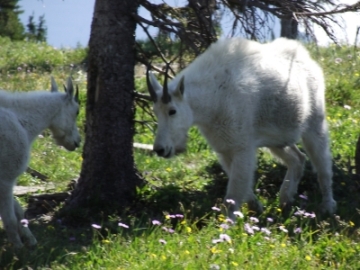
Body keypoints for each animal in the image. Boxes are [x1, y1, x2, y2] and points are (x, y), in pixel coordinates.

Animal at [0, 77, 80, 248]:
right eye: (77, 111)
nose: (77, 142)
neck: (21, 121)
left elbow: (19, 210)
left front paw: (31, 241)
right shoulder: (6, 179)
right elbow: (10, 219)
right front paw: (19, 249)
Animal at [145, 37, 336, 217]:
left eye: (172, 111)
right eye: (155, 112)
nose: (160, 149)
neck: (212, 97)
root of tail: (309, 59)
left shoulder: (241, 147)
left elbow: (234, 193)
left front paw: (228, 225)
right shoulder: (224, 147)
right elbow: (240, 185)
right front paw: (256, 207)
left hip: (314, 122)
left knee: (323, 165)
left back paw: (327, 206)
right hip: (277, 139)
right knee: (298, 159)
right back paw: (285, 200)